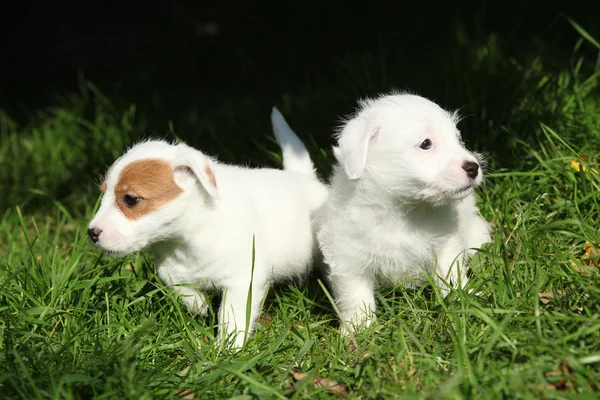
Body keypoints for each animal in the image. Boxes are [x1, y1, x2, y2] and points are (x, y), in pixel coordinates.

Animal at [88, 108, 328, 346]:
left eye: (131, 199)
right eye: (103, 194)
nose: (92, 233)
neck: (191, 230)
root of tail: (303, 177)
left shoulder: (243, 279)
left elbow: (232, 316)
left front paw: (228, 348)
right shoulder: (169, 264)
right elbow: (172, 278)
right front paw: (198, 303)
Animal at [316, 92, 490, 332]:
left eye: (458, 138)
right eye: (426, 143)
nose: (474, 167)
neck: (404, 211)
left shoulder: (445, 248)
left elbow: (451, 277)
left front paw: (466, 301)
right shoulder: (350, 260)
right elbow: (356, 297)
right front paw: (359, 329)